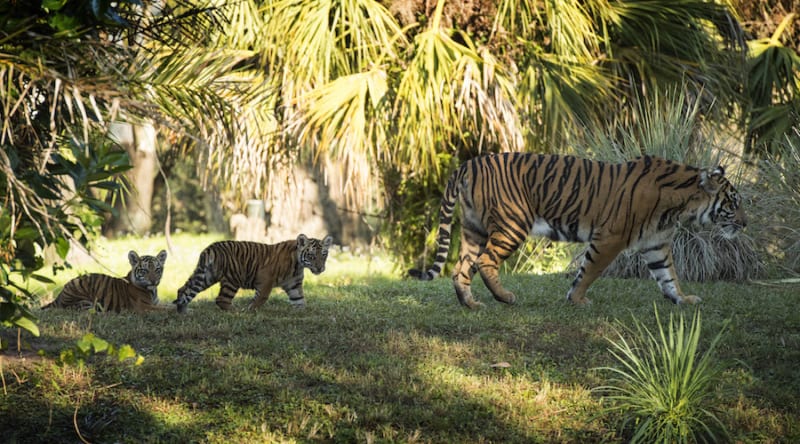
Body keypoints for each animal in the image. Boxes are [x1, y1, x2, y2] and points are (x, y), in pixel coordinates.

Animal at [175, 232, 334, 312]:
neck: (298, 265)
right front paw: (250, 310)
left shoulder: (294, 285)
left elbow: (299, 300)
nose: (320, 268)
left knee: (183, 290)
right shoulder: (266, 281)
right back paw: (237, 312)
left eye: (324, 255)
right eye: (311, 256)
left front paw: (301, 313)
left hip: (206, 277)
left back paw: (183, 311)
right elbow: (259, 299)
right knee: (221, 299)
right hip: (232, 279)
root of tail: (210, 248)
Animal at [410, 154, 748, 306]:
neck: (680, 205)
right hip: (512, 224)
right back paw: (504, 297)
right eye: (733, 203)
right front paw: (577, 299)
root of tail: (469, 163)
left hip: (473, 229)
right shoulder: (611, 237)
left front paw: (683, 299)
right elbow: (590, 270)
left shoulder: (655, 244)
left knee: (460, 268)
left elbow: (668, 275)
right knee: (485, 262)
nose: (745, 224)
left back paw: (470, 302)